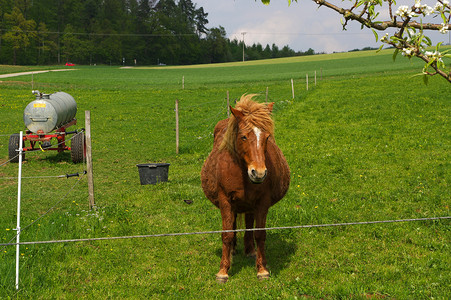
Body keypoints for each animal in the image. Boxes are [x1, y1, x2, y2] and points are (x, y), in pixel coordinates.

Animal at [201, 94, 290, 284]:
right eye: (243, 137)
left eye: (267, 138)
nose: (259, 173)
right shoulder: (225, 200)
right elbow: (227, 234)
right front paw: (223, 271)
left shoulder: (262, 202)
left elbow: (259, 233)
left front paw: (262, 269)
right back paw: (234, 249)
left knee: (249, 224)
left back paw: (250, 250)